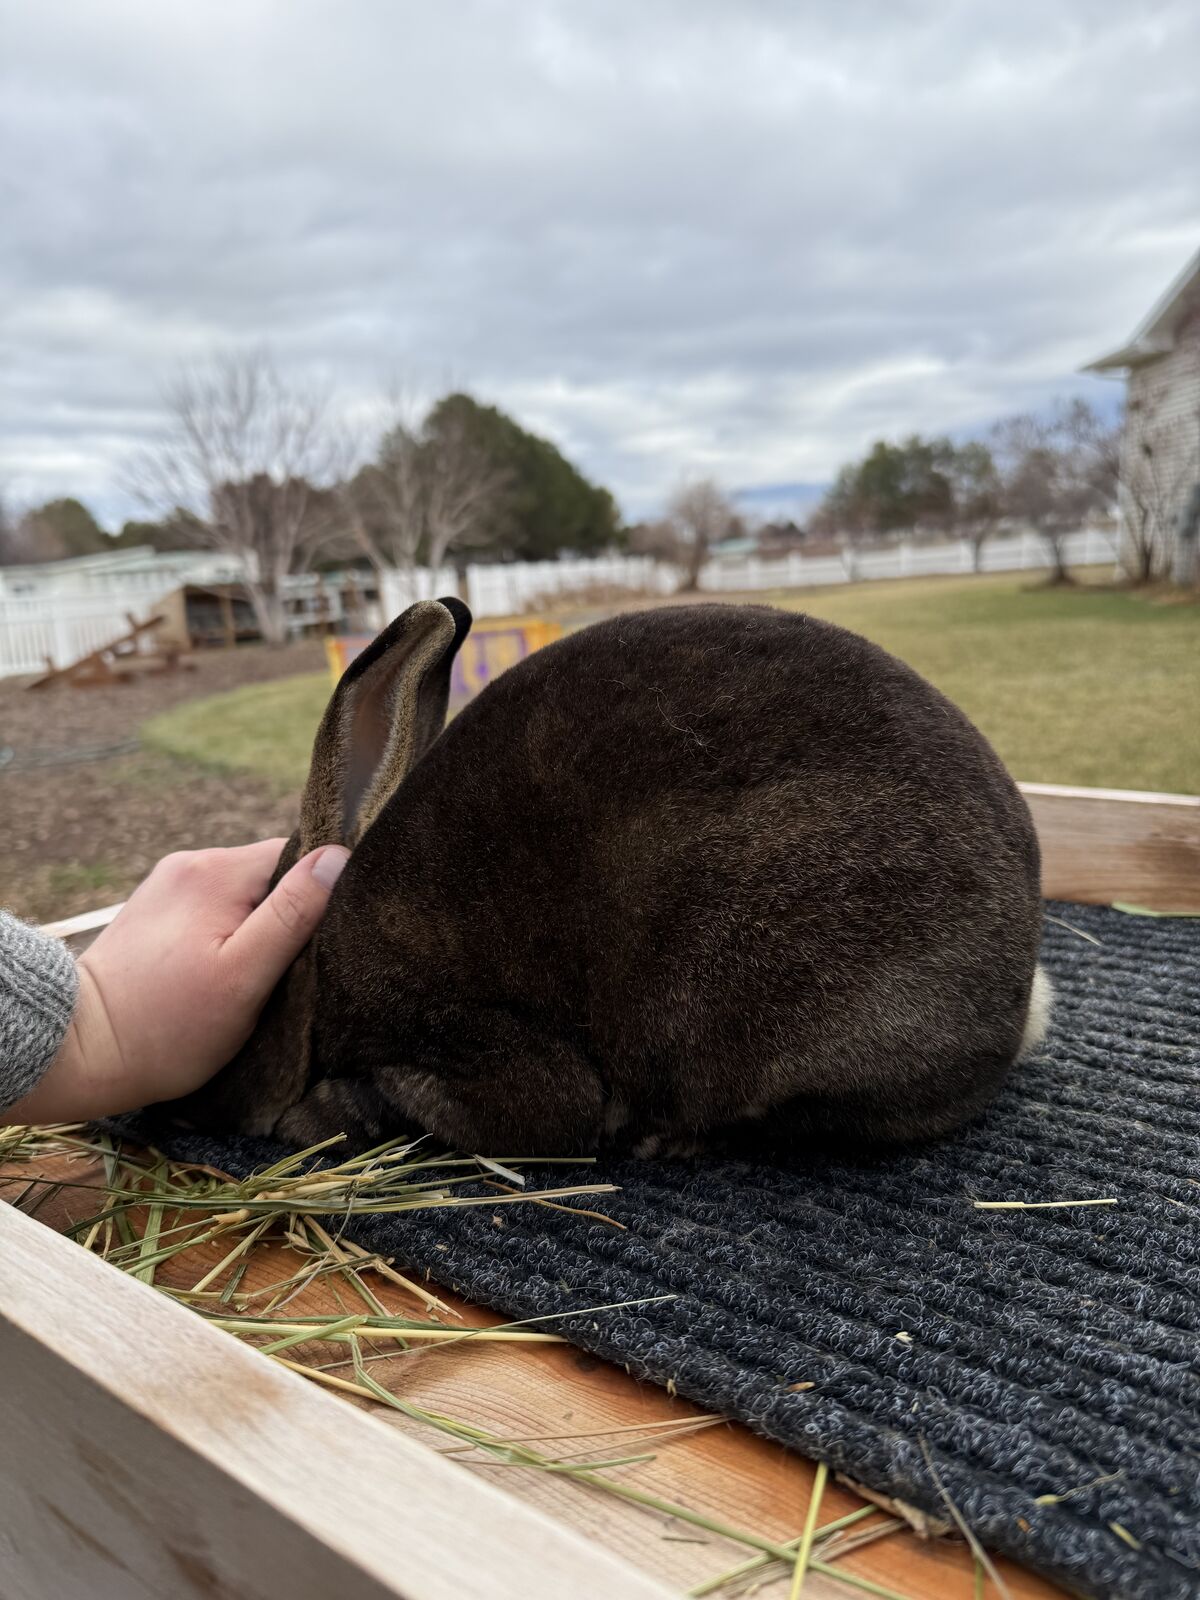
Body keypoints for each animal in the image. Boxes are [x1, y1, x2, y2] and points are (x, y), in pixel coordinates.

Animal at [175, 596, 1051, 1158]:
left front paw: (329, 1113)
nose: (186, 1105)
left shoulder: (476, 1050)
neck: (320, 971)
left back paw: (665, 1139)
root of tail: (1019, 994)